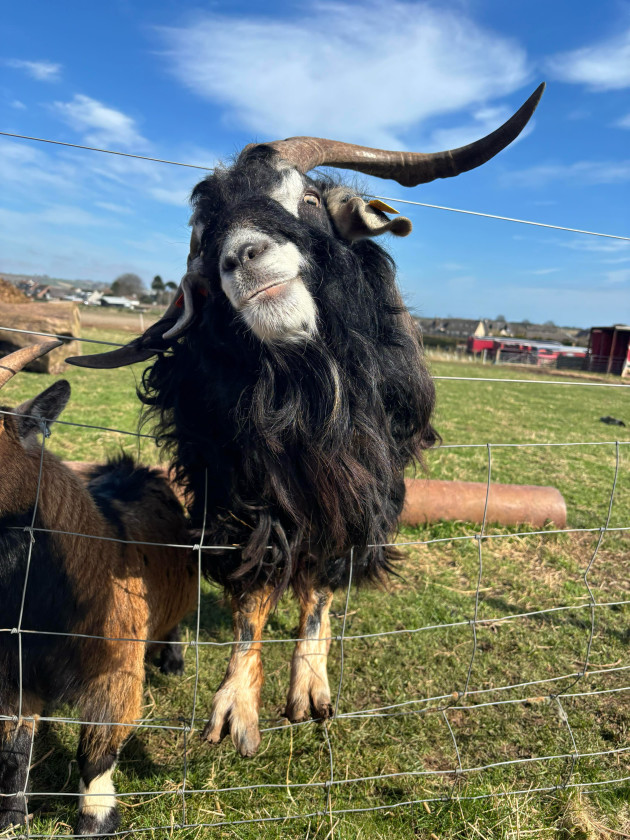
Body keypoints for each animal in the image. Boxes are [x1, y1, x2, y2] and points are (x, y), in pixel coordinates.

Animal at [0, 342, 196, 836]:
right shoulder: (15, 671)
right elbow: (15, 751)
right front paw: (12, 818)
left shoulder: (116, 672)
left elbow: (96, 753)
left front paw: (96, 820)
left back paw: (173, 662)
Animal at [68, 84, 545, 758]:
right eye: (206, 234)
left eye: (309, 197)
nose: (244, 256)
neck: (306, 389)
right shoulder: (240, 489)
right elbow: (253, 591)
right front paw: (236, 706)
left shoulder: (362, 481)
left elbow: (319, 581)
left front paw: (311, 690)